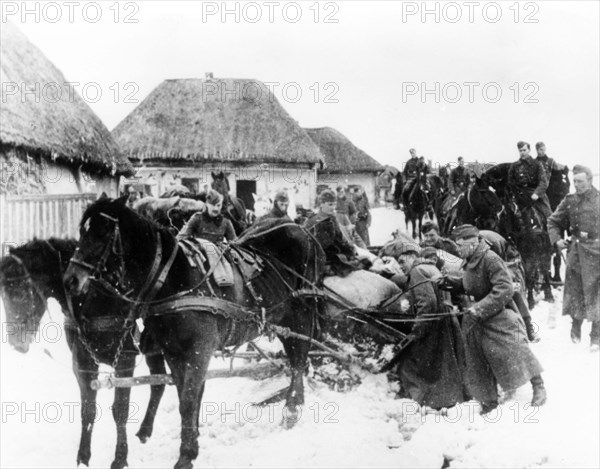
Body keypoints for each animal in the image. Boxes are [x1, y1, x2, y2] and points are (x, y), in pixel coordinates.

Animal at [0, 238, 165, 468]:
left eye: (20, 292)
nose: (16, 343)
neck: (91, 298)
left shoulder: (125, 360)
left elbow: (120, 410)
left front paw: (120, 458)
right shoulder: (83, 362)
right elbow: (88, 410)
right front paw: (83, 457)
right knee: (159, 381)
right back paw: (144, 431)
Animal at [63, 196, 326, 468]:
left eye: (103, 232)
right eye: (82, 232)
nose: (70, 280)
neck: (172, 279)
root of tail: (302, 230)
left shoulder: (198, 352)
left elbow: (189, 402)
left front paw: (185, 455)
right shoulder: (173, 353)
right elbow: (183, 397)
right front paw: (192, 445)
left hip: (301, 313)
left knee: (299, 358)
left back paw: (292, 409)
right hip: (283, 318)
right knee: (295, 358)